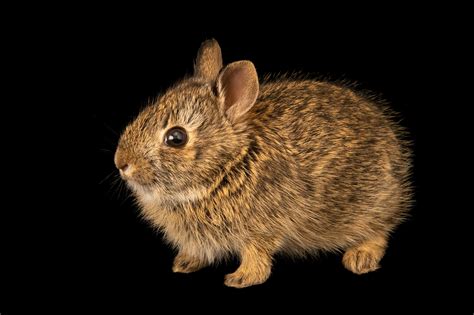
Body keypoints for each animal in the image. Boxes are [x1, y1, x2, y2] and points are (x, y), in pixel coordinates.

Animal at [114, 39, 412, 288]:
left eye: (176, 137)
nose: (121, 162)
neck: (229, 164)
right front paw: (185, 263)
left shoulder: (262, 229)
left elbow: (256, 255)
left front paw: (241, 278)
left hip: (371, 205)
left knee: (379, 230)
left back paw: (360, 257)